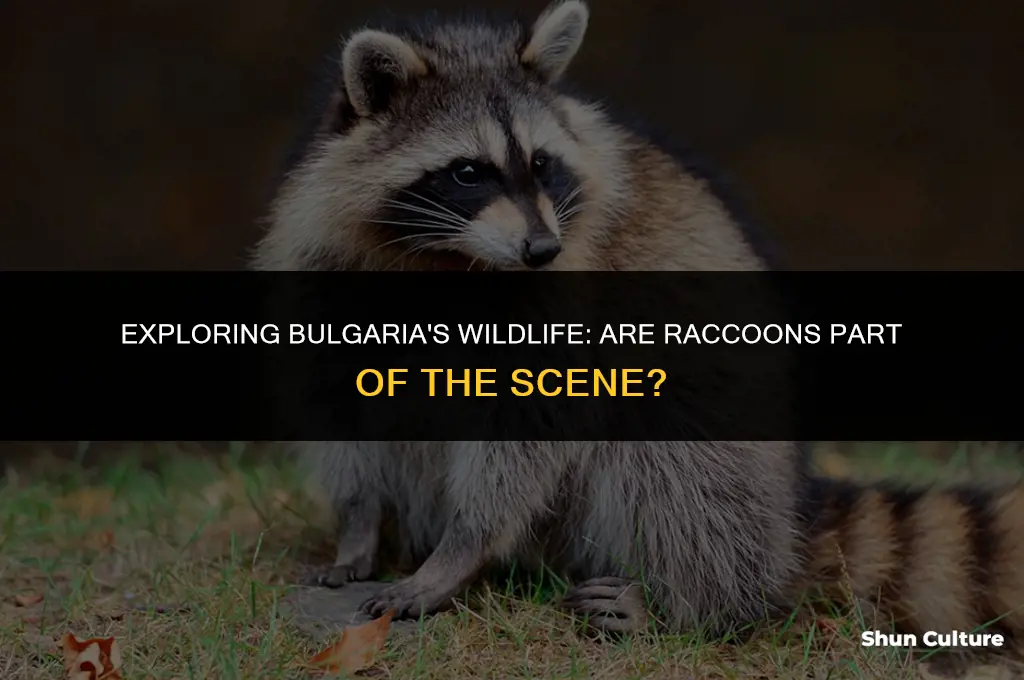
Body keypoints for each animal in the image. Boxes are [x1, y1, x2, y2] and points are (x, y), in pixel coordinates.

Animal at [255, 1, 1024, 639]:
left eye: (541, 163)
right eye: (468, 171)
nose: (542, 249)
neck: (444, 256)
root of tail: (791, 513)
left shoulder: (564, 295)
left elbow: (531, 423)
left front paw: (461, 549)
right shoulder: (324, 267)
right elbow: (341, 404)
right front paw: (358, 523)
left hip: (725, 437)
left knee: (674, 465)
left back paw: (692, 603)